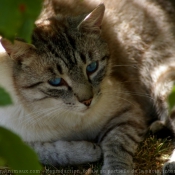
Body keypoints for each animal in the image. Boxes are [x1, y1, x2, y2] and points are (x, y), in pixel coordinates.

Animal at [0, 0, 175, 174]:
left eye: (92, 67)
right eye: (56, 81)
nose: (87, 101)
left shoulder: (129, 112)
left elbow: (117, 142)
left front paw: (114, 169)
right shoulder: (13, 139)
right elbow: (48, 153)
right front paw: (89, 150)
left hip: (160, 77)